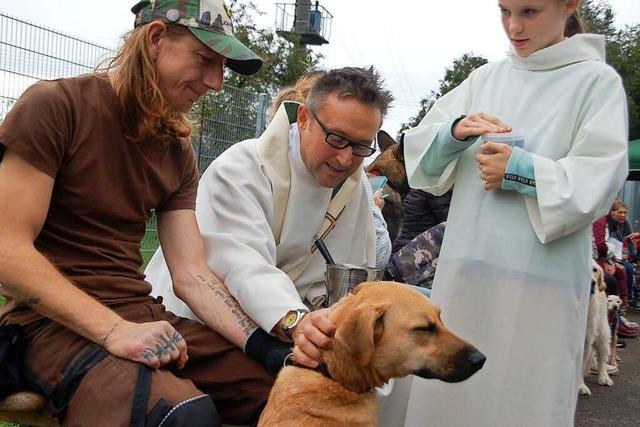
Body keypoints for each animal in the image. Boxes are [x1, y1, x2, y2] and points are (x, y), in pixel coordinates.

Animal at [576, 262, 612, 396]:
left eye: (595, 269)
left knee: (602, 358)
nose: (592, 283)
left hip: (602, 333)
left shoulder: (585, 341)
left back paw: (604, 377)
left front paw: (580, 386)